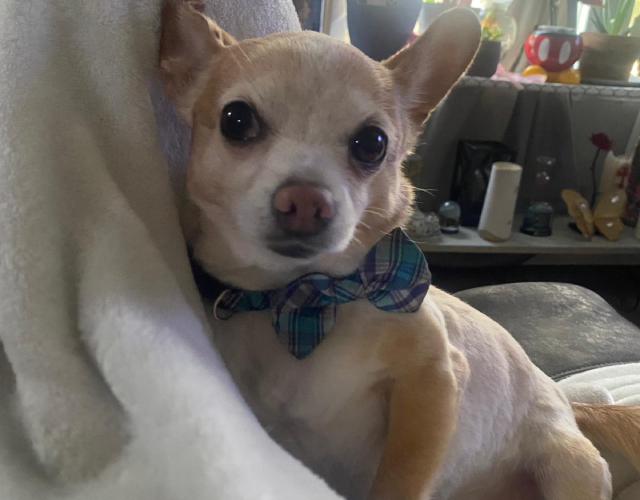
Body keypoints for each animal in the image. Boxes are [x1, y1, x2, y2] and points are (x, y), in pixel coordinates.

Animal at [161, 1, 636, 498]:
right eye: (236, 121)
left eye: (372, 143)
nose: (305, 202)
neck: (301, 299)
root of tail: (566, 400)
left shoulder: (434, 380)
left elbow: (400, 478)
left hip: (570, 465)